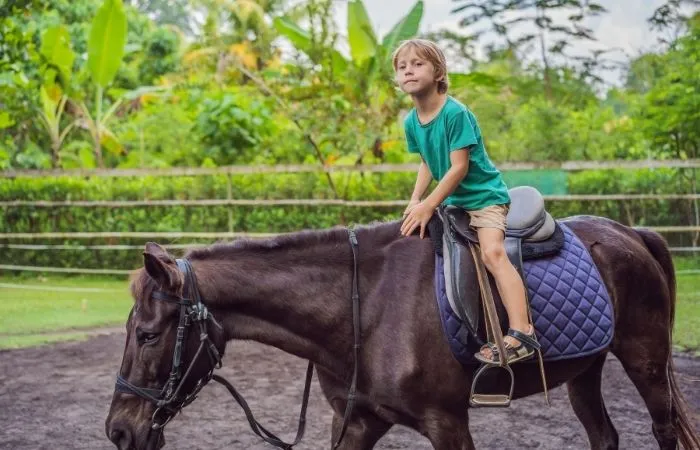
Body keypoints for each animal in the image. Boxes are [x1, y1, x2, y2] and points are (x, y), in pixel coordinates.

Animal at [105, 216, 700, 448]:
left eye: (149, 336)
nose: (118, 431)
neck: (363, 309)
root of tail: (630, 233)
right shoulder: (357, 422)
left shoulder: (447, 423)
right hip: (584, 372)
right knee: (604, 435)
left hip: (645, 362)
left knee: (664, 428)